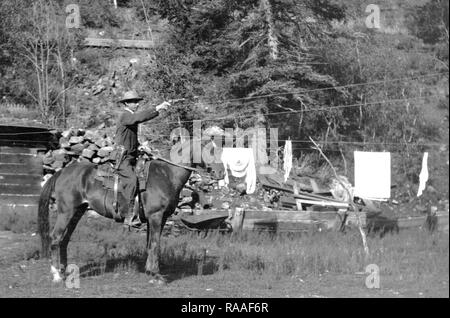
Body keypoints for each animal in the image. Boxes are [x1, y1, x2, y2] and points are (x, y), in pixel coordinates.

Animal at [37, 143, 224, 284]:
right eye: (210, 150)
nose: (221, 172)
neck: (167, 174)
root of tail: (62, 172)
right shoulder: (156, 217)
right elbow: (155, 244)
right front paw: (156, 275)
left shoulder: (159, 219)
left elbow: (150, 244)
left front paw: (150, 271)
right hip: (66, 212)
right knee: (55, 238)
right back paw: (56, 275)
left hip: (77, 212)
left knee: (64, 240)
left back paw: (65, 271)